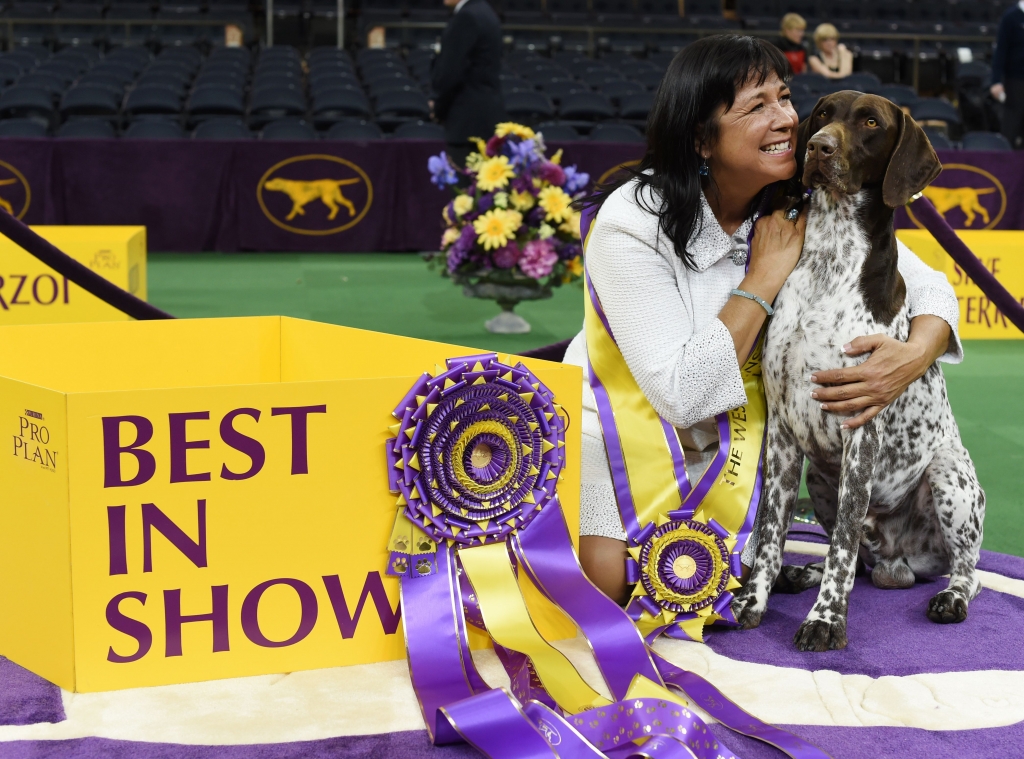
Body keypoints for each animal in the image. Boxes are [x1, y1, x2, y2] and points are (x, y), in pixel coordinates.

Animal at [729, 91, 983, 651]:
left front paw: (826, 621)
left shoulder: (860, 428)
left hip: (949, 477)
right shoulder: (782, 434)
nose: (819, 147)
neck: (830, 253)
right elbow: (772, 532)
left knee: (966, 569)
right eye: (824, 114)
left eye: (870, 122)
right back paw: (803, 575)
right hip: (821, 482)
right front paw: (752, 601)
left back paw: (951, 597)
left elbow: (842, 545)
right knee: (854, 560)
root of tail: (899, 562)